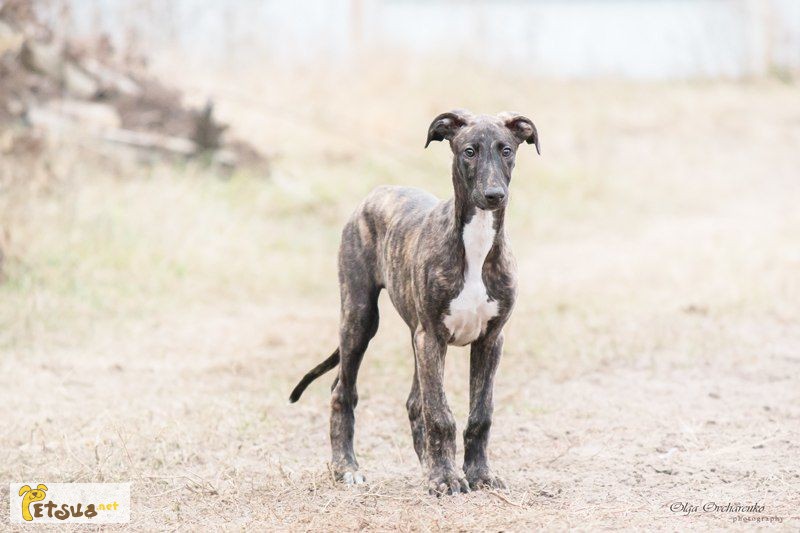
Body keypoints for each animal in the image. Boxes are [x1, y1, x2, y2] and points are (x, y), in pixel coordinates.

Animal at [290, 109, 540, 494]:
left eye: (507, 150)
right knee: (342, 391)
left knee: (412, 401)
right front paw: (445, 478)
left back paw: (425, 465)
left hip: (414, 335)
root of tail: (377, 191)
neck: (475, 242)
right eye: (468, 151)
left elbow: (480, 413)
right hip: (360, 317)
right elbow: (439, 413)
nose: (494, 195)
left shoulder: (489, 339)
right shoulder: (433, 337)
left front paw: (477, 474)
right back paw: (346, 467)